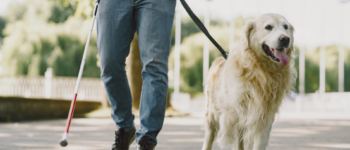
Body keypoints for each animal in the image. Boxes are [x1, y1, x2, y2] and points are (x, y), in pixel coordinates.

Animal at [202, 13, 296, 150]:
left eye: (285, 27)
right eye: (268, 27)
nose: (285, 39)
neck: (261, 71)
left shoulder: (264, 119)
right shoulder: (229, 118)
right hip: (212, 115)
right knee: (209, 136)